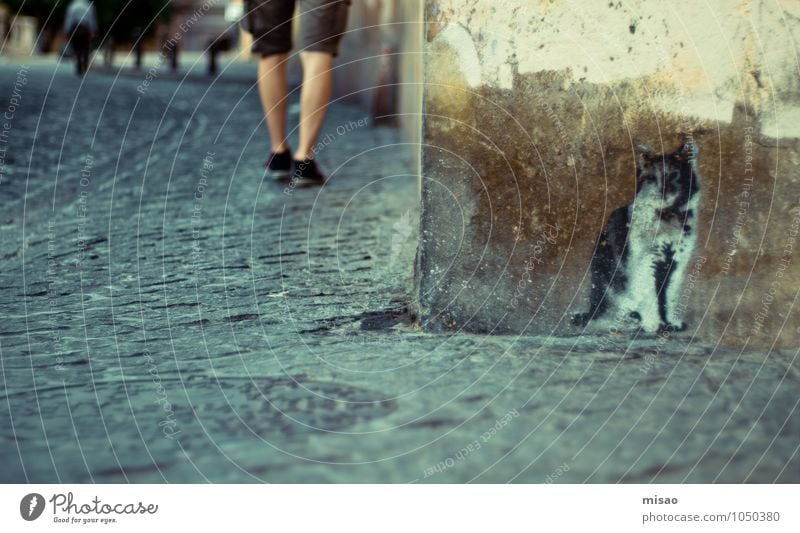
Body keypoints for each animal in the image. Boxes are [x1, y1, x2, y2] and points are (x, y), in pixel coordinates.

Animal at [576, 141, 700, 332]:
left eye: (674, 175)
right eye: (652, 178)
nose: (663, 191)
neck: (668, 217)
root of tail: (593, 309)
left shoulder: (676, 265)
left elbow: (669, 297)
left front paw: (670, 321)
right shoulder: (646, 263)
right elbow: (651, 297)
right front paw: (654, 323)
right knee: (608, 317)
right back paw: (631, 321)